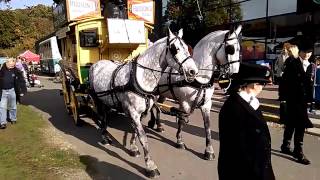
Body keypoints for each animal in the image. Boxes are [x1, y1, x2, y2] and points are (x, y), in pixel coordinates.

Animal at [88, 28, 198, 178]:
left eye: (187, 47)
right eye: (175, 48)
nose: (193, 71)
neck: (139, 78)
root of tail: (96, 64)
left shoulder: (139, 113)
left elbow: (134, 131)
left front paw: (133, 148)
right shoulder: (133, 112)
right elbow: (143, 138)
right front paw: (150, 166)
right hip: (97, 99)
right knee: (102, 117)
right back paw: (105, 137)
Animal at [146, 25, 241, 160]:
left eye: (239, 49)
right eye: (230, 49)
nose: (236, 72)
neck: (199, 77)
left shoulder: (206, 104)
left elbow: (207, 126)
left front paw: (209, 150)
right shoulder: (184, 103)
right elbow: (181, 121)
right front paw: (179, 141)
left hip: (162, 93)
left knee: (157, 106)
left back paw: (158, 125)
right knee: (153, 106)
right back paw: (152, 122)